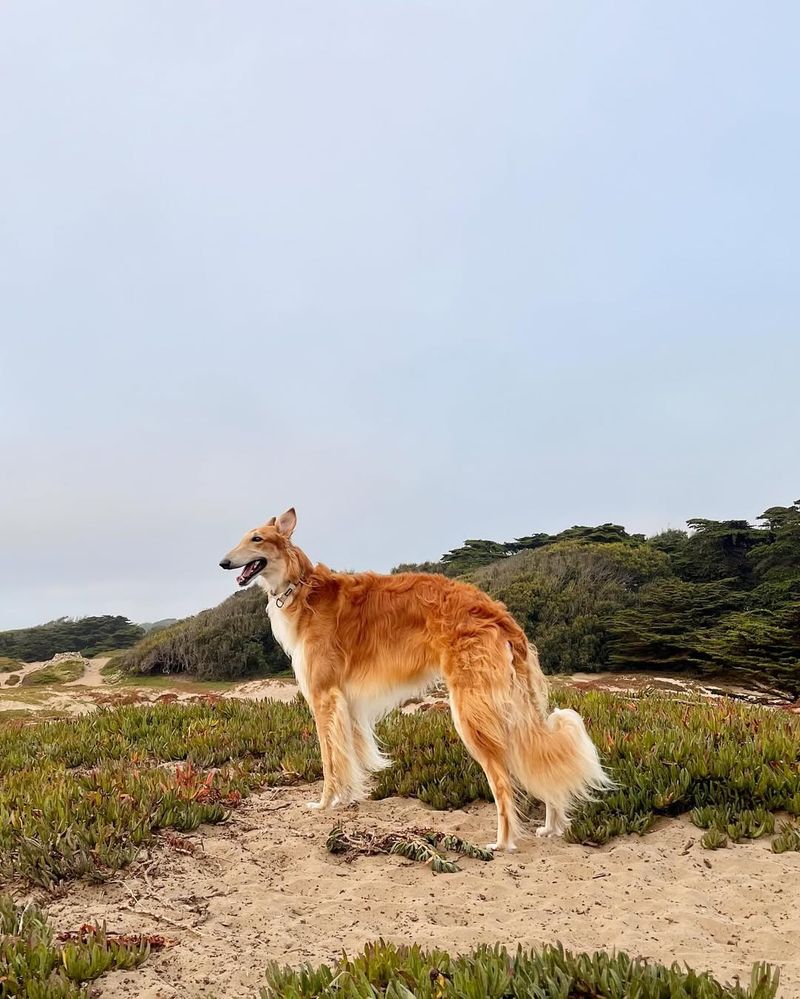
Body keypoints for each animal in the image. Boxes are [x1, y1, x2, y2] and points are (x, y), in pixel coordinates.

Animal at [222, 508, 608, 852]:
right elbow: (348, 757)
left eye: (257, 538)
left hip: (471, 712)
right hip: (512, 706)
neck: (302, 588)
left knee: (502, 782)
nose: (223, 563)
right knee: (540, 761)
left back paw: (503, 842)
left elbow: (330, 760)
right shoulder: (347, 703)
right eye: (242, 537)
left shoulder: (322, 696)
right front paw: (347, 800)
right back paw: (551, 826)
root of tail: (497, 612)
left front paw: (324, 803)